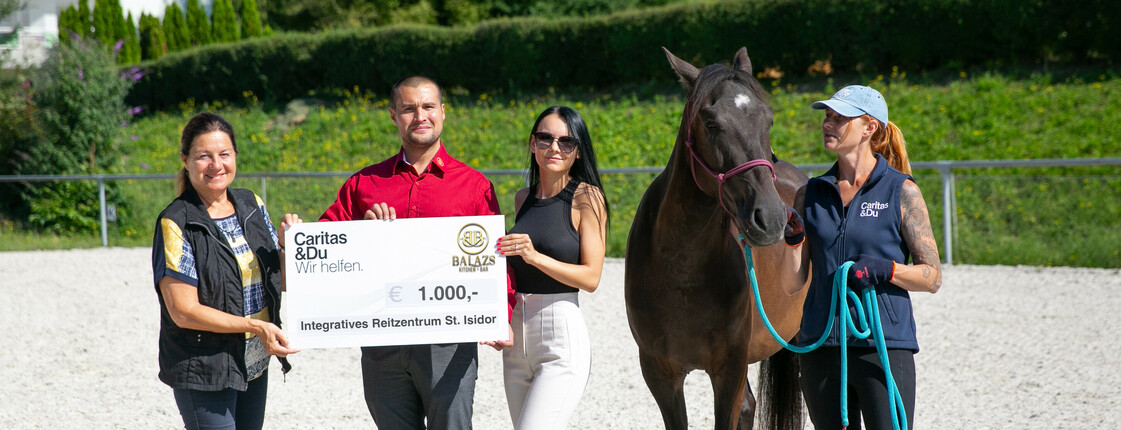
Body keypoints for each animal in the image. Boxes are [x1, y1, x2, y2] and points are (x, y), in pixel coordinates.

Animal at [627, 47, 811, 430]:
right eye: (711, 123)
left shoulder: (729, 371)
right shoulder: (660, 373)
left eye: (769, 119)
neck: (682, 269)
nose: (772, 219)